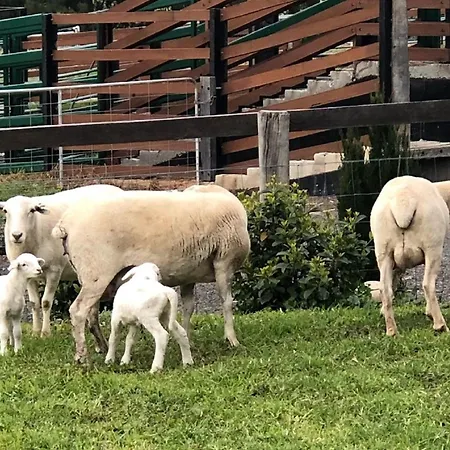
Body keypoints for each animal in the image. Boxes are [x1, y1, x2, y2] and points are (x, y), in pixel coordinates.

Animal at [0, 183, 123, 345]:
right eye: (5, 211)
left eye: (32, 210)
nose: (16, 235)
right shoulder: (28, 276)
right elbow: (34, 303)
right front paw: (35, 332)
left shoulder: (54, 270)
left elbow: (46, 302)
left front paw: (45, 334)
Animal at [51, 189, 250, 363]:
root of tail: (65, 223)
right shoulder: (224, 261)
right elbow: (227, 302)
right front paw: (232, 340)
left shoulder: (189, 274)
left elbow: (188, 307)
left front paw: (187, 338)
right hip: (97, 273)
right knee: (78, 311)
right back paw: (82, 356)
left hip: (88, 275)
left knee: (92, 314)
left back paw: (103, 347)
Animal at [370, 175, 450, 336]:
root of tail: (403, 200)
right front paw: (430, 313)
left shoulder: (398, 262)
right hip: (433, 246)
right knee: (428, 285)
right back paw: (440, 326)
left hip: (384, 251)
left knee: (384, 289)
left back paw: (391, 331)